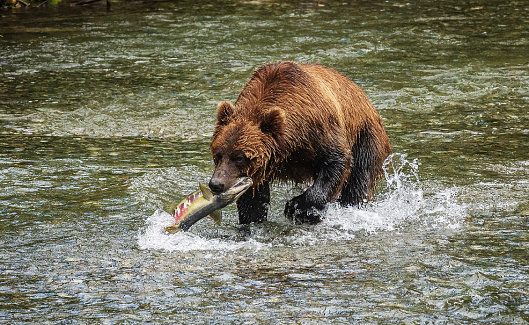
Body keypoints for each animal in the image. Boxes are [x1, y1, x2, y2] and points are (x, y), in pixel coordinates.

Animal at [208, 60, 390, 224]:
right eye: (218, 154)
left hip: (366, 136)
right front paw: (252, 221)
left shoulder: (318, 130)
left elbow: (337, 161)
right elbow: (253, 199)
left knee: (359, 181)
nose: (216, 184)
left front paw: (297, 208)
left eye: (239, 157)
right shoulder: (259, 168)